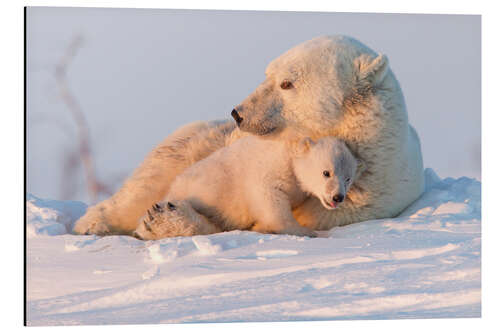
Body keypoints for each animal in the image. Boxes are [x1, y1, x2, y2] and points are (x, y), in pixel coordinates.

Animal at [132, 135, 360, 239]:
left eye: (348, 178)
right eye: (326, 172)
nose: (338, 197)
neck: (290, 150)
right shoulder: (271, 169)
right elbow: (269, 198)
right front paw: (305, 231)